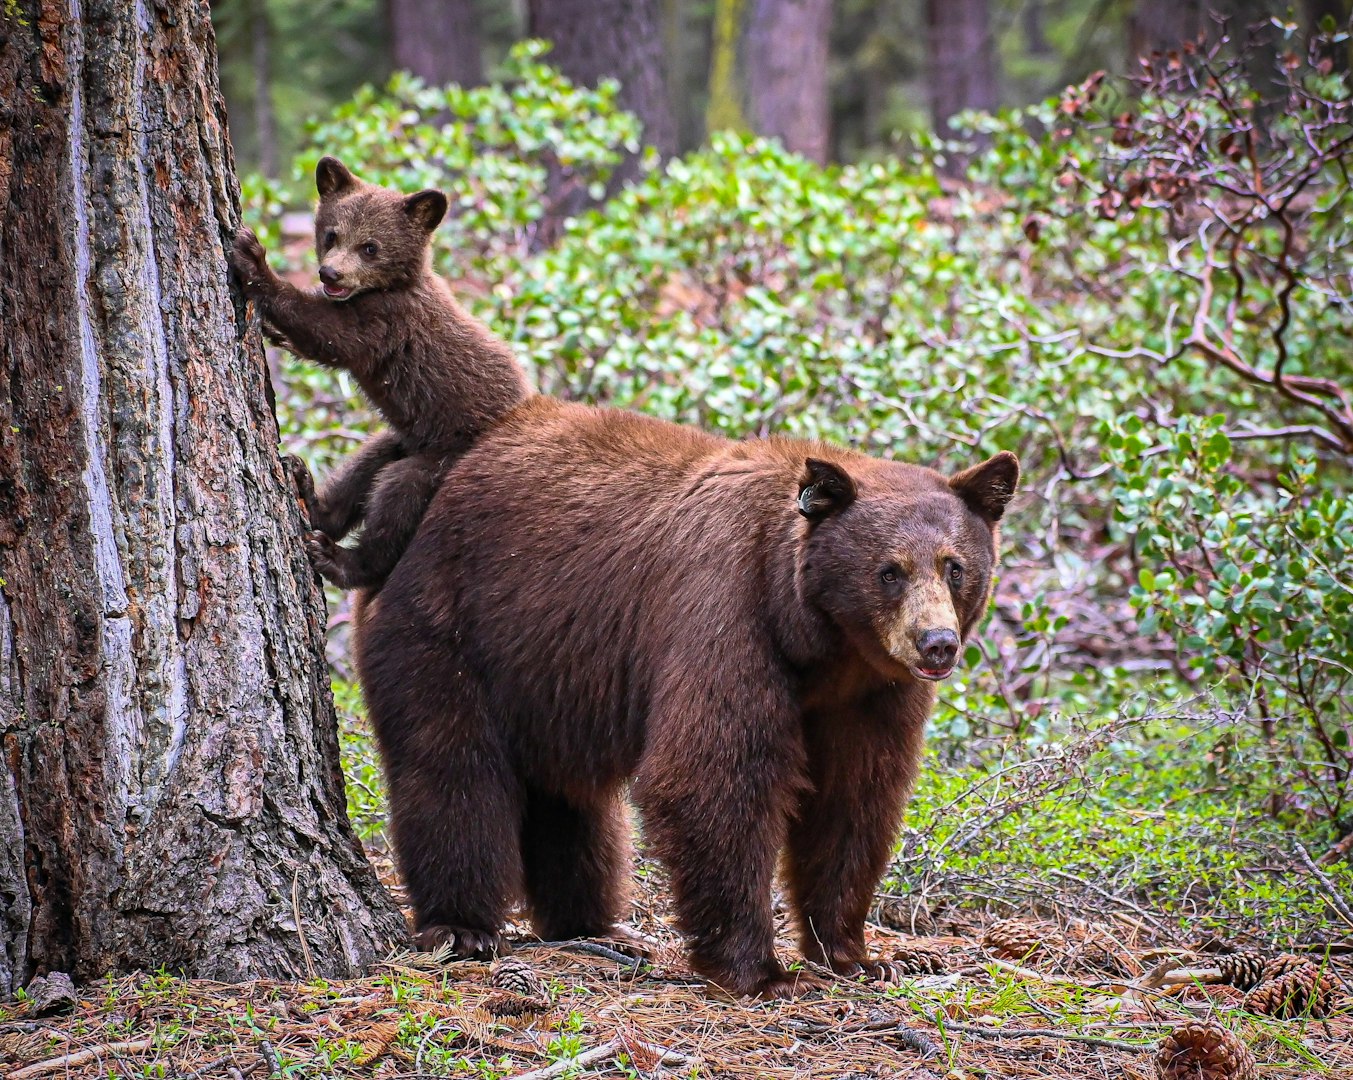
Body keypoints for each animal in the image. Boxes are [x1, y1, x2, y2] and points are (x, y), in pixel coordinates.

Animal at [230, 156, 532, 590]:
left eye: (370, 246)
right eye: (331, 234)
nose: (330, 274)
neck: (390, 287)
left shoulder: (388, 322)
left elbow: (329, 333)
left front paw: (253, 259)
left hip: (441, 460)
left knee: (397, 497)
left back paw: (337, 557)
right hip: (405, 437)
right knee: (366, 465)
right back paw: (309, 493)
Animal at [353, 393, 1018, 998]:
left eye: (955, 566)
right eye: (889, 570)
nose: (937, 644)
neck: (819, 642)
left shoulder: (872, 690)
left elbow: (855, 797)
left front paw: (859, 954)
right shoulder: (725, 609)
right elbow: (713, 774)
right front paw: (760, 971)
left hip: (547, 672)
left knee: (571, 799)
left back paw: (592, 926)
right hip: (448, 626)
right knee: (453, 770)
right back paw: (462, 926)